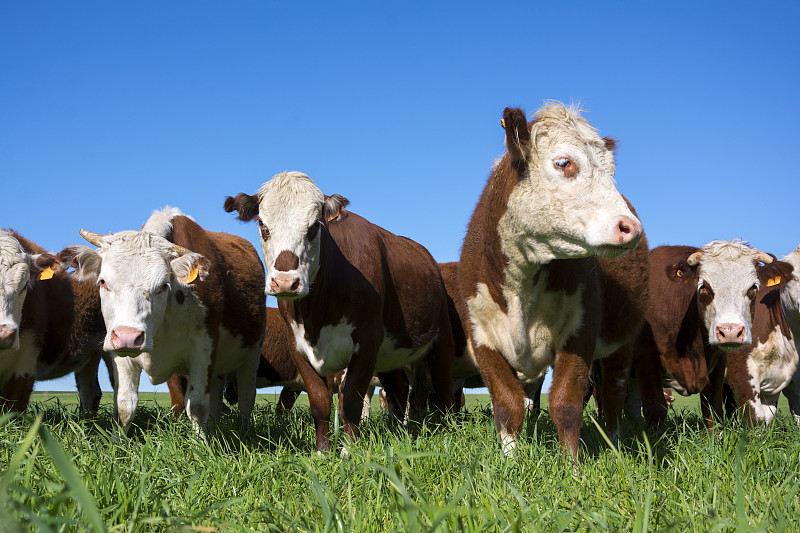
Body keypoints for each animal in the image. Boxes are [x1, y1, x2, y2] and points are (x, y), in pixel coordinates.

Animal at [63, 206, 262, 434]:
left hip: (252, 353)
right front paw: (116, 442)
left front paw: (201, 443)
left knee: (246, 398)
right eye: (103, 281)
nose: (128, 337)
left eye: (164, 285)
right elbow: (124, 407)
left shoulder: (204, 349)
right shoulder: (120, 354)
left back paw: (246, 431)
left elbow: (197, 407)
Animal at [223, 172, 456, 450]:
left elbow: (351, 403)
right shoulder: (297, 346)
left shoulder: (367, 341)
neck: (316, 315)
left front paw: (348, 450)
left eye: (314, 227)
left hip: (441, 340)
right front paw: (322, 451)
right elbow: (320, 403)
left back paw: (447, 428)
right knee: (399, 391)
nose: (286, 282)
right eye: (262, 224)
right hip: (391, 356)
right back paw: (398, 430)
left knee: (443, 388)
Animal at [456, 104, 644, 458]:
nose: (631, 227)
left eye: (611, 172)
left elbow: (566, 404)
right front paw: (511, 459)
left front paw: (572, 466)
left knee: (614, 392)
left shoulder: (580, 331)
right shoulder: (481, 335)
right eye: (564, 162)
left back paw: (614, 442)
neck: (520, 287)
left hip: (623, 343)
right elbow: (507, 404)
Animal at [632, 241, 780, 428]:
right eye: (704, 287)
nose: (730, 332)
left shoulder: (718, 362)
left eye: (753, 288)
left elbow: (713, 410)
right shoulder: (647, 359)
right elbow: (656, 411)